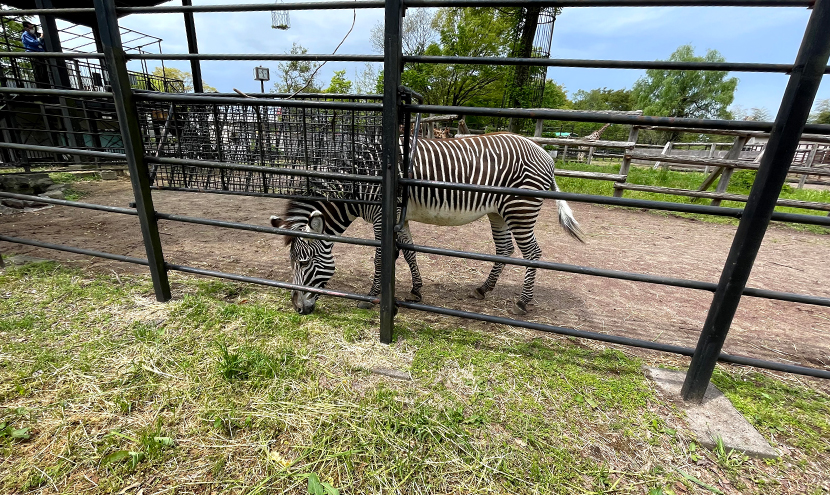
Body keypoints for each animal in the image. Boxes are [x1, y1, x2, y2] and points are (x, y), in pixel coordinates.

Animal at [272, 134, 584, 316]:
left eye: (303, 263)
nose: (297, 308)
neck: (357, 182)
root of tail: (544, 152)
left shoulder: (381, 215)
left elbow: (380, 256)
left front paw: (371, 296)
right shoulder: (401, 217)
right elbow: (409, 251)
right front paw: (416, 289)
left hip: (520, 208)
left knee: (532, 253)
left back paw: (523, 301)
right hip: (498, 211)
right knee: (505, 249)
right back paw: (484, 289)